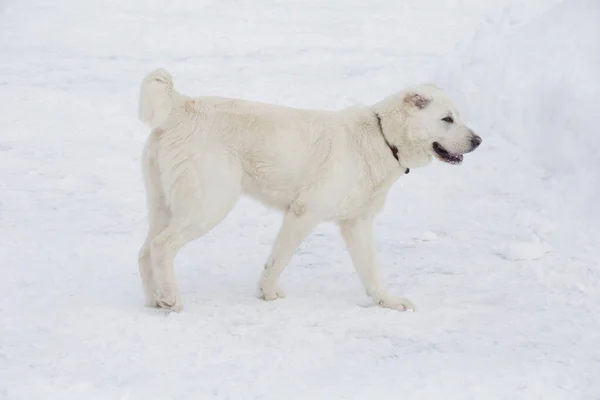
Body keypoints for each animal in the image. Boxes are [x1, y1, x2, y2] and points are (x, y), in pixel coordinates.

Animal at [137, 69, 482, 312]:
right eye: (447, 119)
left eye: (458, 117)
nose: (478, 141)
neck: (383, 137)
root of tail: (181, 104)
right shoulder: (304, 212)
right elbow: (278, 259)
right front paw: (268, 293)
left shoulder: (356, 223)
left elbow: (371, 270)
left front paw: (387, 301)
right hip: (210, 204)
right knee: (162, 246)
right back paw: (172, 299)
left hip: (165, 204)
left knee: (146, 249)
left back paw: (156, 299)